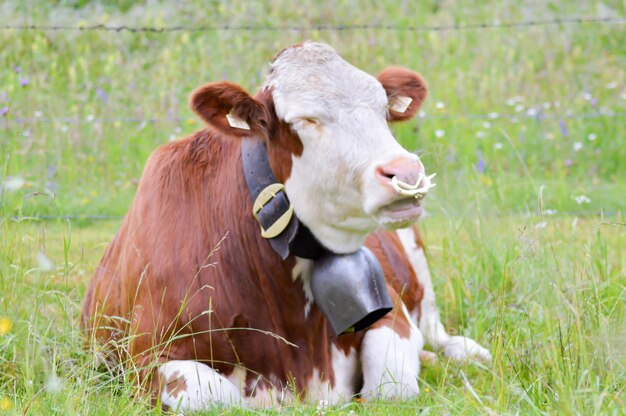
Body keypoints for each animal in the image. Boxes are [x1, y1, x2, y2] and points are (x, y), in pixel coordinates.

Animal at [80, 40, 488, 412]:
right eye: (306, 120)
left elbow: (391, 389)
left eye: (383, 111)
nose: (406, 172)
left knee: (435, 330)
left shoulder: (392, 315)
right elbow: (220, 399)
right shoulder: (146, 360)